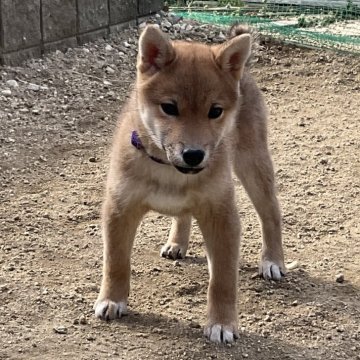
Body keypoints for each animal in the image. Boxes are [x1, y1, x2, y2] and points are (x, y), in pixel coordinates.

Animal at [94, 23, 286, 344]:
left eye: (215, 111)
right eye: (169, 107)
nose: (194, 155)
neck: (169, 170)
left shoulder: (222, 216)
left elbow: (222, 280)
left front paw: (222, 323)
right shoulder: (120, 208)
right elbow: (116, 263)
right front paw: (111, 300)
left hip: (253, 165)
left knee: (270, 214)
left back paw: (272, 260)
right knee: (184, 214)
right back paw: (176, 243)